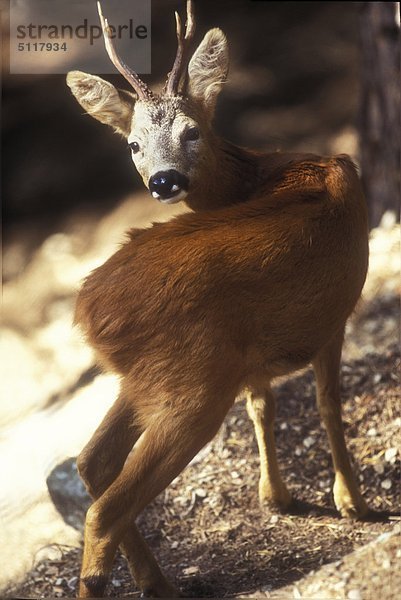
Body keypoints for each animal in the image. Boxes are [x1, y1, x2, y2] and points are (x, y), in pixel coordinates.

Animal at [66, 2, 368, 596]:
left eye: (191, 132)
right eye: (133, 143)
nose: (163, 181)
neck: (267, 169)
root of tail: (85, 311)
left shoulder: (255, 354)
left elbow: (263, 404)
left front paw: (276, 496)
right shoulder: (335, 314)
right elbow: (328, 402)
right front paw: (353, 502)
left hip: (148, 377)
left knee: (91, 462)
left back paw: (156, 581)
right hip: (193, 385)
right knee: (104, 507)